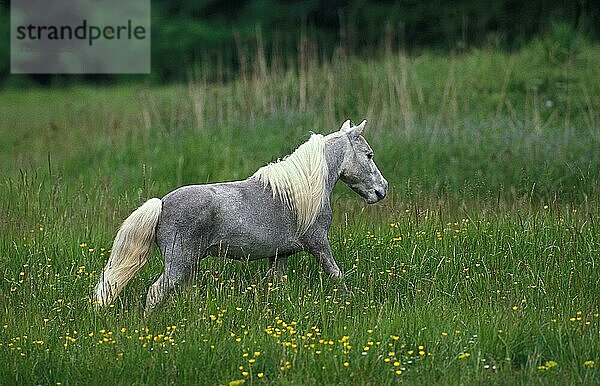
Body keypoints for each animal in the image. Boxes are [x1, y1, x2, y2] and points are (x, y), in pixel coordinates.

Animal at [91, 119, 386, 316]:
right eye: (369, 154)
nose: (382, 190)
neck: (299, 193)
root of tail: (161, 204)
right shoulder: (318, 243)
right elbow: (337, 276)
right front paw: (351, 302)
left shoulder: (280, 255)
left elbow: (277, 285)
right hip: (178, 265)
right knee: (155, 293)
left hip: (189, 266)